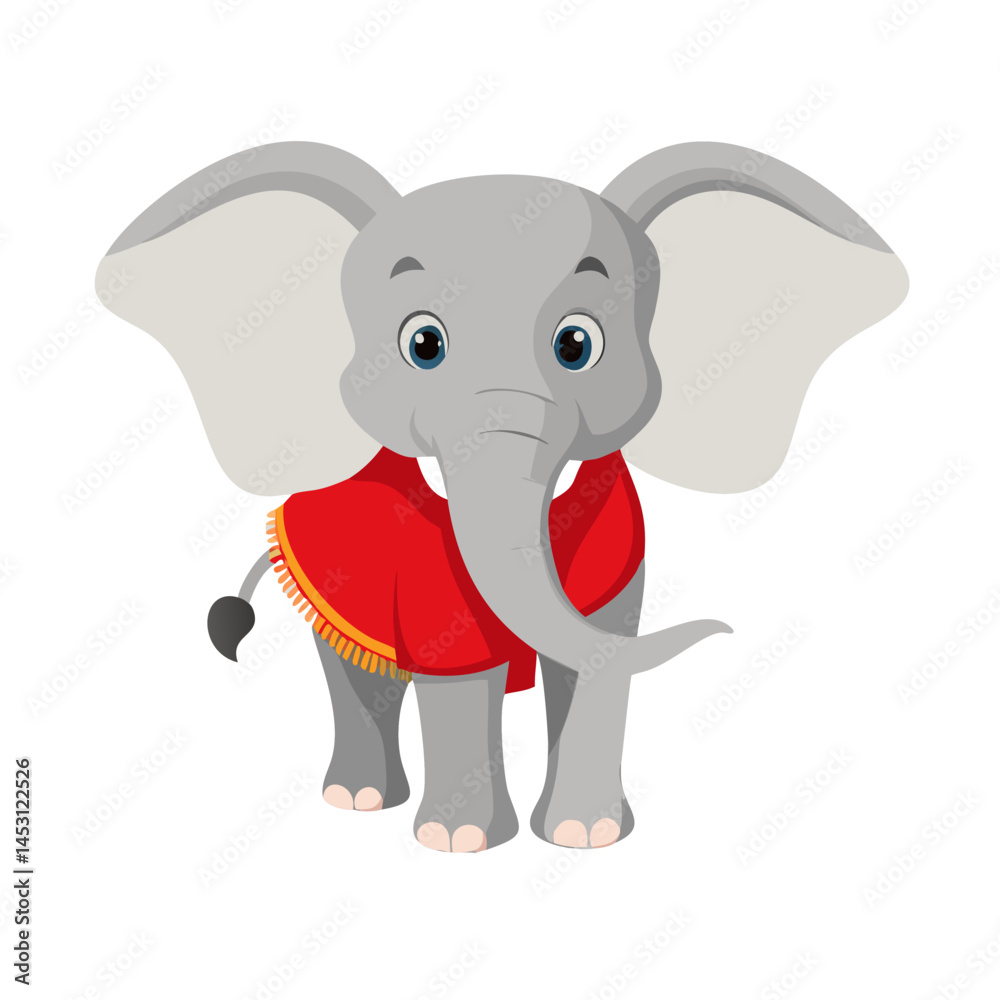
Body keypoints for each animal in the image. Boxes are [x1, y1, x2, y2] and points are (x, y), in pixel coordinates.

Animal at [95, 140, 907, 853]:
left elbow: (597, 655)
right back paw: (358, 799)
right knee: (358, 674)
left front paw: (587, 836)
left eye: (577, 345)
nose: (723, 628)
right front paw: (458, 844)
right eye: (423, 345)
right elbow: (459, 671)